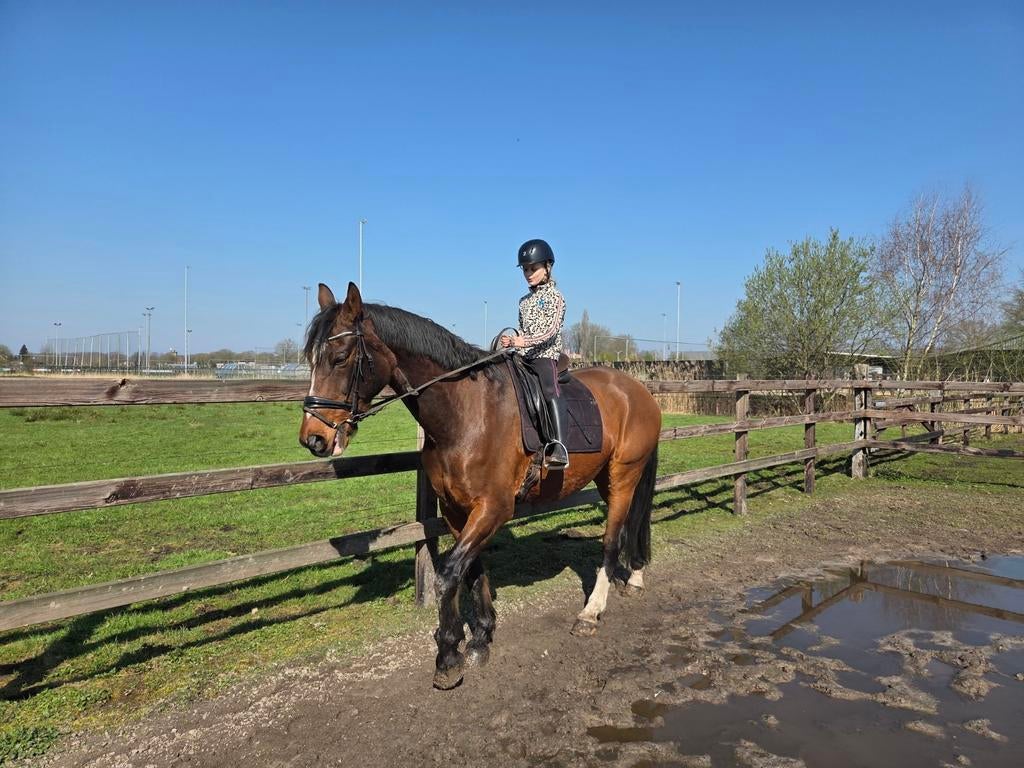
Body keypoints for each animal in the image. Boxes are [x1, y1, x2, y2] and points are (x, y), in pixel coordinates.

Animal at [299, 282, 662, 689]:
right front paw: (480, 636)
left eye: (340, 358)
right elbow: (472, 569)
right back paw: (634, 577)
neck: (465, 413)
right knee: (631, 525)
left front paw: (448, 656)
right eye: (311, 358)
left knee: (612, 539)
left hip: (624, 474)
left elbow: (448, 576)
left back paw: (591, 613)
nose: (313, 438)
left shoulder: (493, 509)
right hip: (607, 477)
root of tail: (639, 391)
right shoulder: (456, 511)